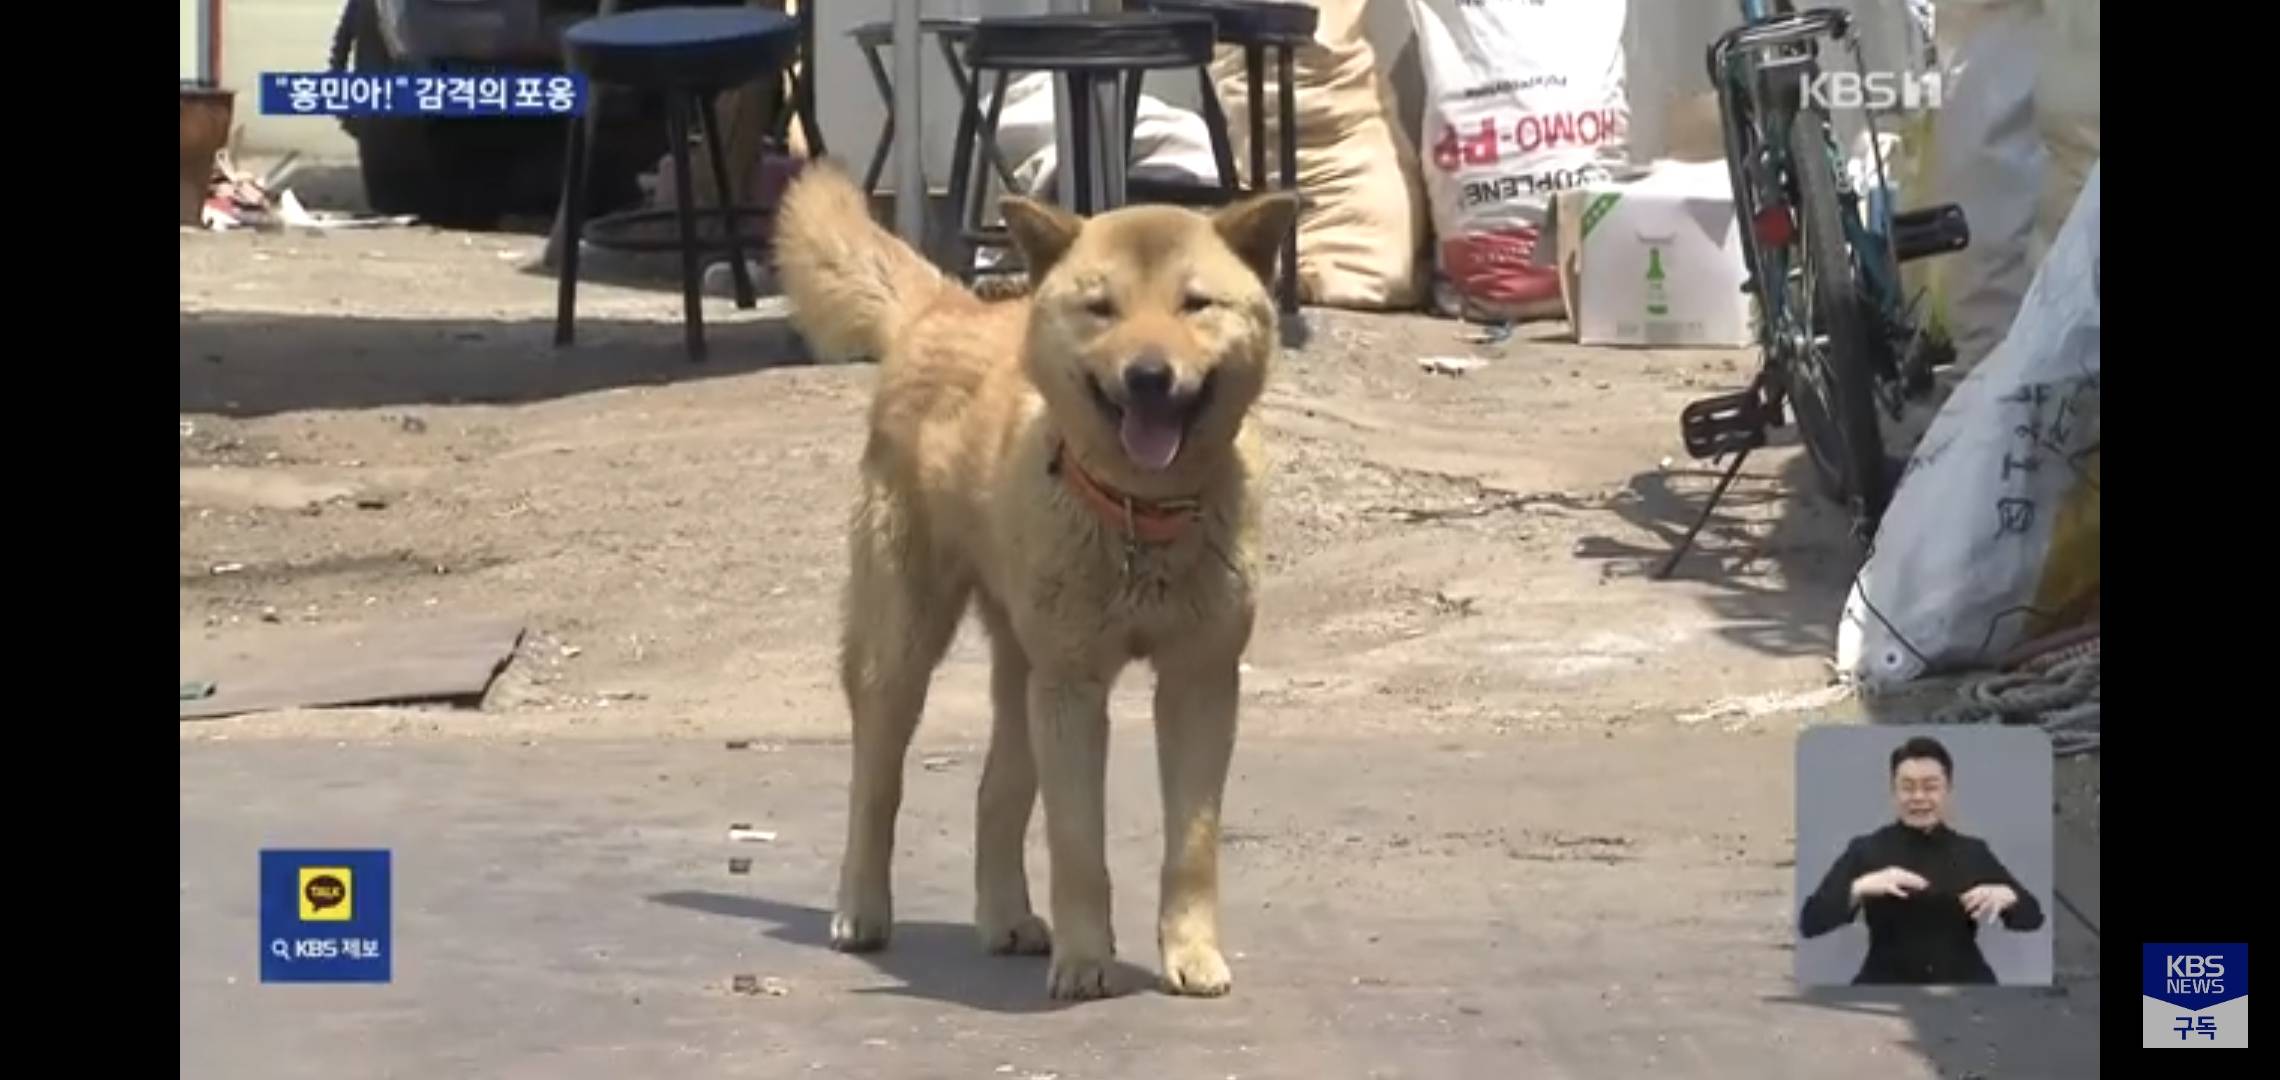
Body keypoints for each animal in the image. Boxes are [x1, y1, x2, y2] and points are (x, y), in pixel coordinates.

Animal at [770, 162, 1295, 1002]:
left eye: (1195, 304)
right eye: (1102, 307)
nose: (1150, 376)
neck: (1140, 517)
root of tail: (947, 306)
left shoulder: (1201, 682)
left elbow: (1192, 844)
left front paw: (1191, 955)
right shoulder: (1073, 689)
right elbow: (1076, 842)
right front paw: (1085, 961)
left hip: (1021, 669)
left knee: (996, 790)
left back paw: (1004, 917)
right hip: (903, 649)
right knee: (875, 785)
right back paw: (862, 909)